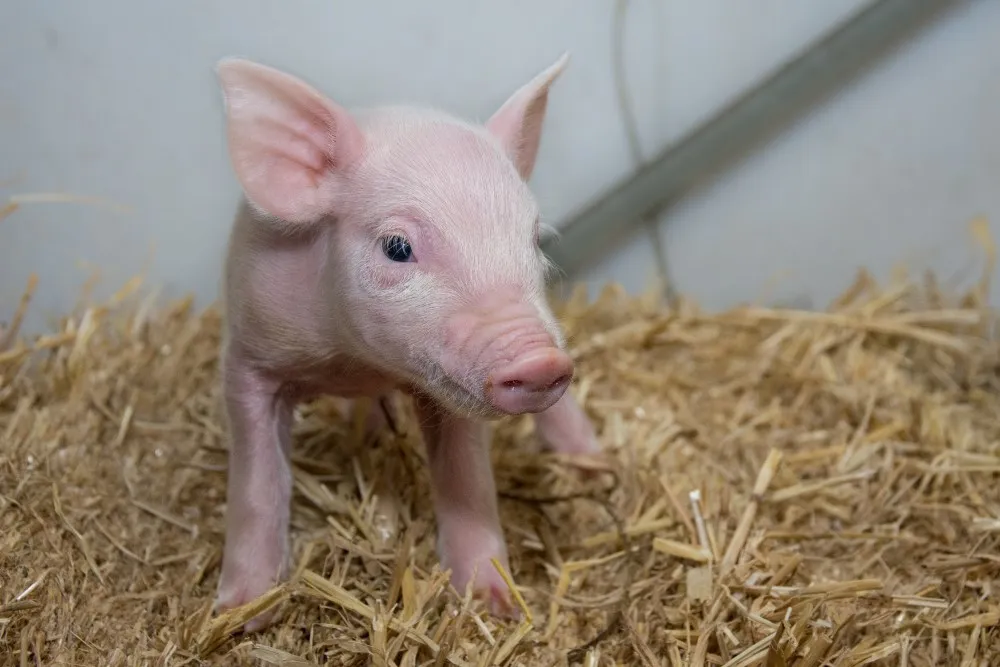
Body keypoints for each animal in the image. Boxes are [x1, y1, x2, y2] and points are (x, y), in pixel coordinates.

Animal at [212, 54, 601, 631]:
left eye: (532, 239)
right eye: (397, 246)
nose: (539, 361)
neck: (353, 361)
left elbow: (466, 476)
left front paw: (494, 603)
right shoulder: (248, 356)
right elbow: (256, 486)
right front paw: (239, 615)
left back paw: (593, 463)